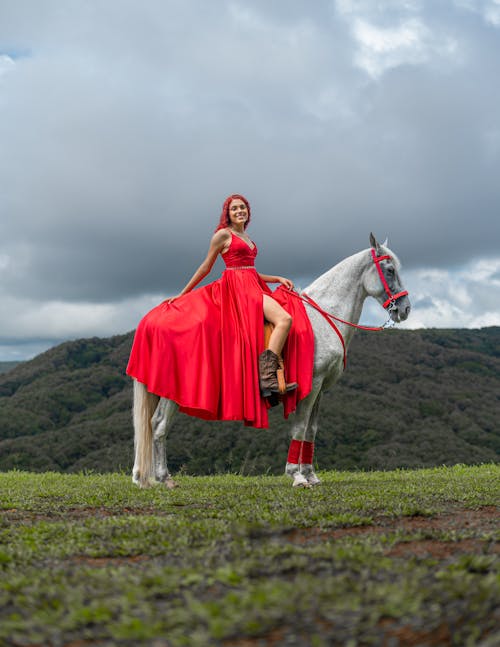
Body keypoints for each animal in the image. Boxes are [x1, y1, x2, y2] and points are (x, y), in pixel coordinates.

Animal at [132, 235, 410, 488]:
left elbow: (311, 430)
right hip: (173, 392)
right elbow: (299, 427)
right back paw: (165, 478)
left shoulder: (321, 388)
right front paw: (296, 476)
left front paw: (310, 474)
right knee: (159, 425)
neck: (322, 316)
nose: (405, 309)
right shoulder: (311, 384)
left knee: (152, 425)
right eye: (390, 270)